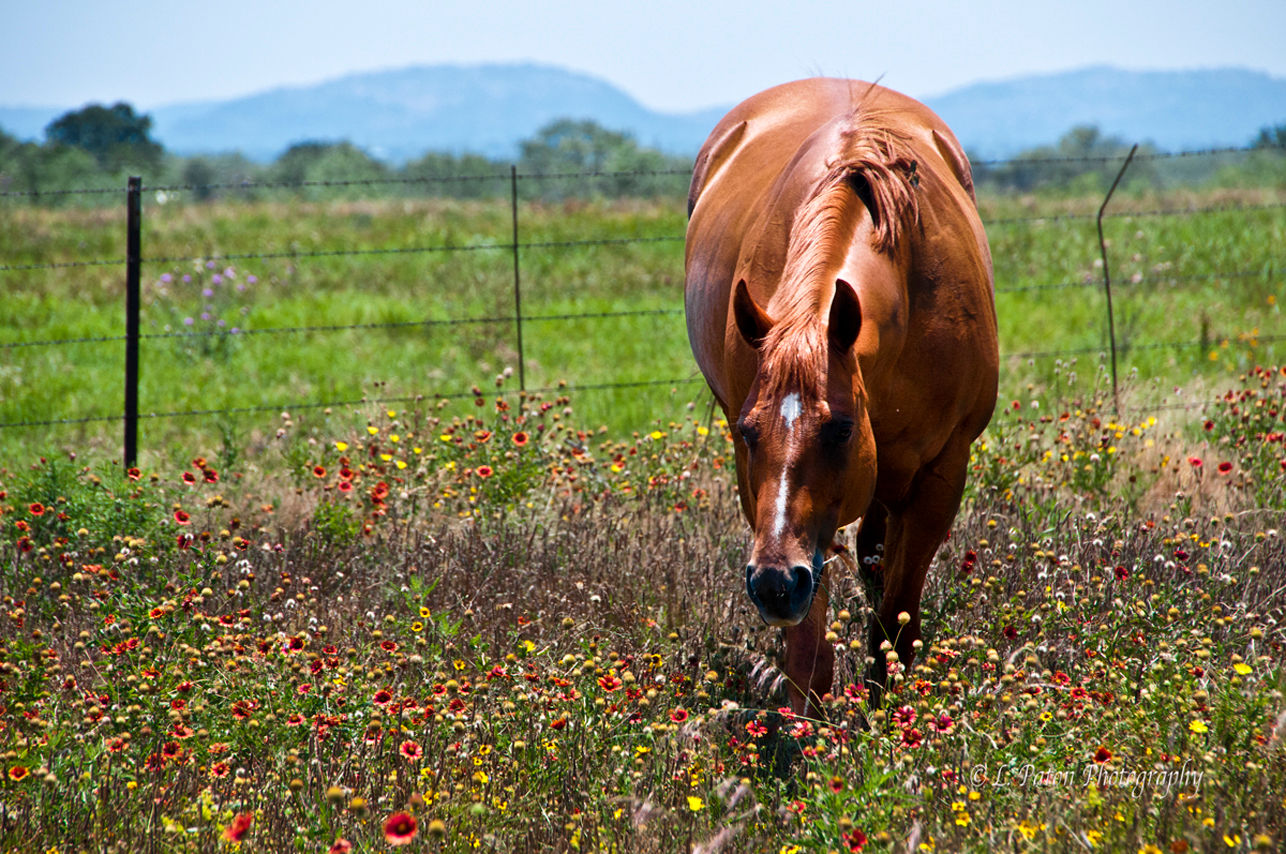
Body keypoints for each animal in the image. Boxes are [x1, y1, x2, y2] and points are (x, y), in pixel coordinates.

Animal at [684, 78, 998, 714]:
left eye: (841, 429)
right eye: (747, 432)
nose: (774, 586)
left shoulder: (942, 471)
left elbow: (897, 619)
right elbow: (811, 640)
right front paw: (804, 720)